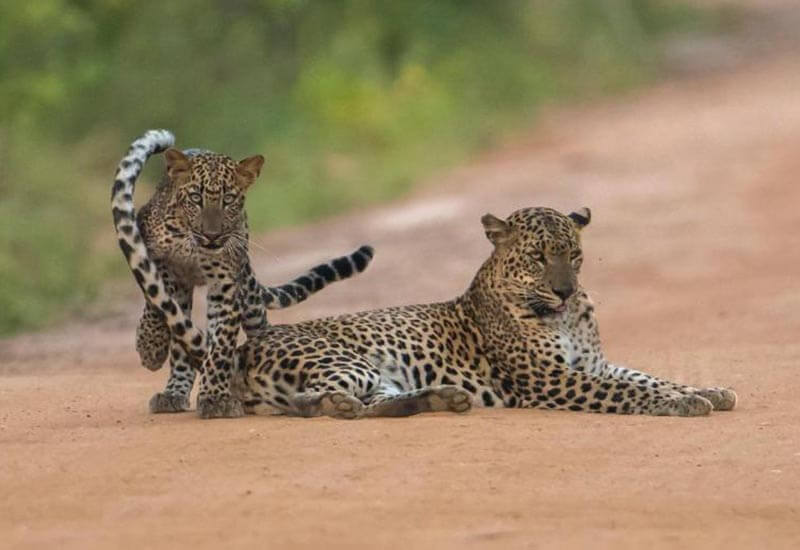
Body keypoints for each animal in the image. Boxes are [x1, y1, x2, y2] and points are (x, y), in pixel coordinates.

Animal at [112, 129, 374, 417]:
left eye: (228, 200)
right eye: (195, 198)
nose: (212, 235)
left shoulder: (225, 284)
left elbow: (221, 345)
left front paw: (215, 397)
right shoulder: (161, 264)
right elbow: (154, 303)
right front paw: (151, 346)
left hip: (250, 300)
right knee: (180, 341)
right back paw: (173, 392)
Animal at [222, 206, 737, 419]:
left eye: (573, 255)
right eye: (538, 257)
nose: (566, 291)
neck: (566, 316)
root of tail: (247, 348)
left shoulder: (593, 364)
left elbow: (648, 376)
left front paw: (706, 390)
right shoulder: (551, 379)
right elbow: (626, 390)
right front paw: (681, 403)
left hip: (380, 376)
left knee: (375, 405)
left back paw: (442, 399)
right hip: (349, 363)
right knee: (313, 402)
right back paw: (340, 406)